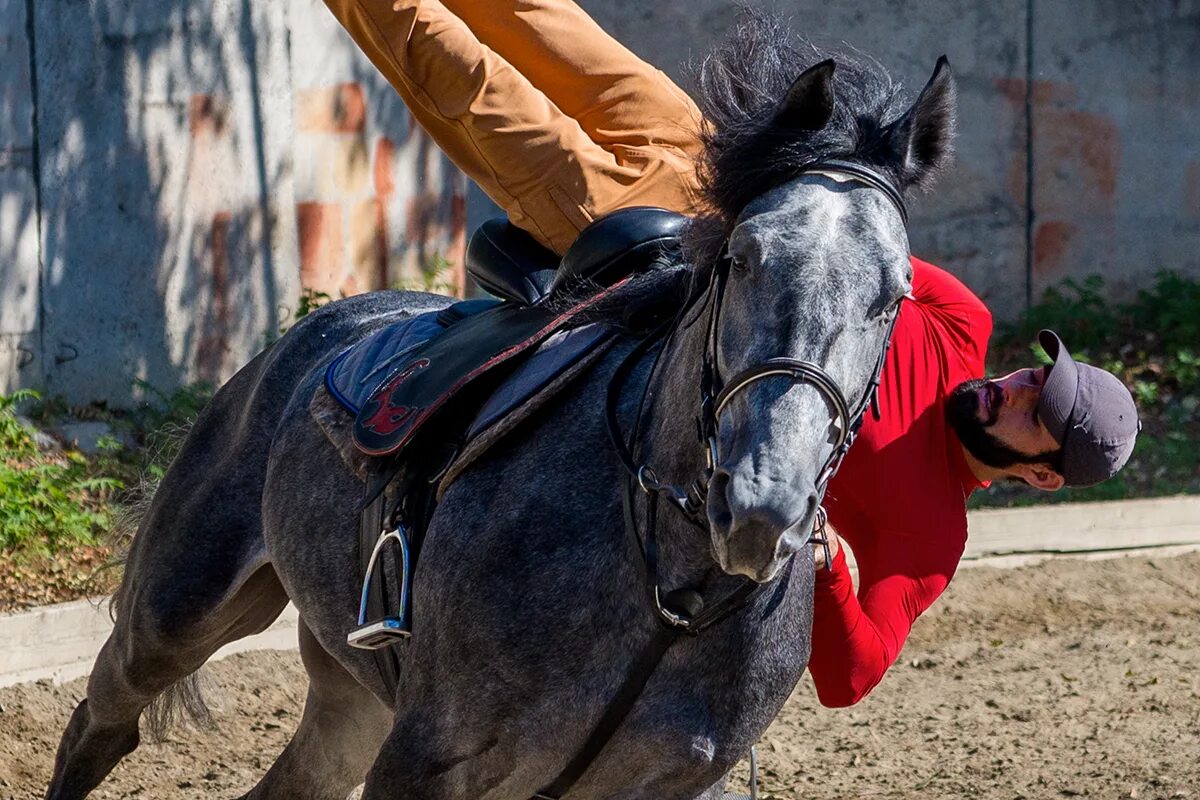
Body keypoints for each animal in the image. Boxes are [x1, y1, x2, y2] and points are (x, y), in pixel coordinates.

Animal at [44, 20, 955, 800]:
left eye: (894, 295)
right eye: (741, 257)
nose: (763, 506)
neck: (671, 581)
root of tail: (298, 342)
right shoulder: (425, 760)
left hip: (350, 699)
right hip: (174, 617)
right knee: (101, 725)